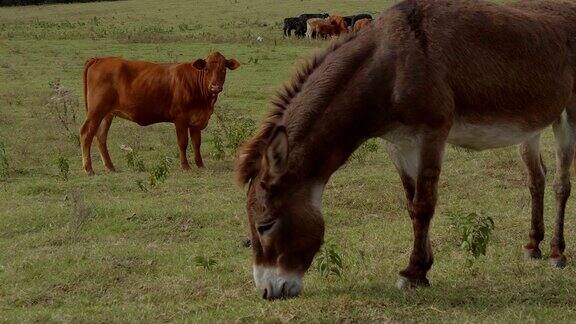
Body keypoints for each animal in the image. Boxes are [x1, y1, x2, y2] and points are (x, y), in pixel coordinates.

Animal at [80, 52, 238, 175]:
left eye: (223, 69)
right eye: (207, 69)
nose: (215, 87)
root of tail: (100, 59)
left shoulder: (196, 120)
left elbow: (196, 143)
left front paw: (200, 165)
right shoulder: (180, 118)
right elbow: (183, 142)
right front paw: (185, 166)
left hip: (107, 114)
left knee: (101, 136)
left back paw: (110, 166)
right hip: (96, 111)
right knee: (86, 133)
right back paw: (89, 169)